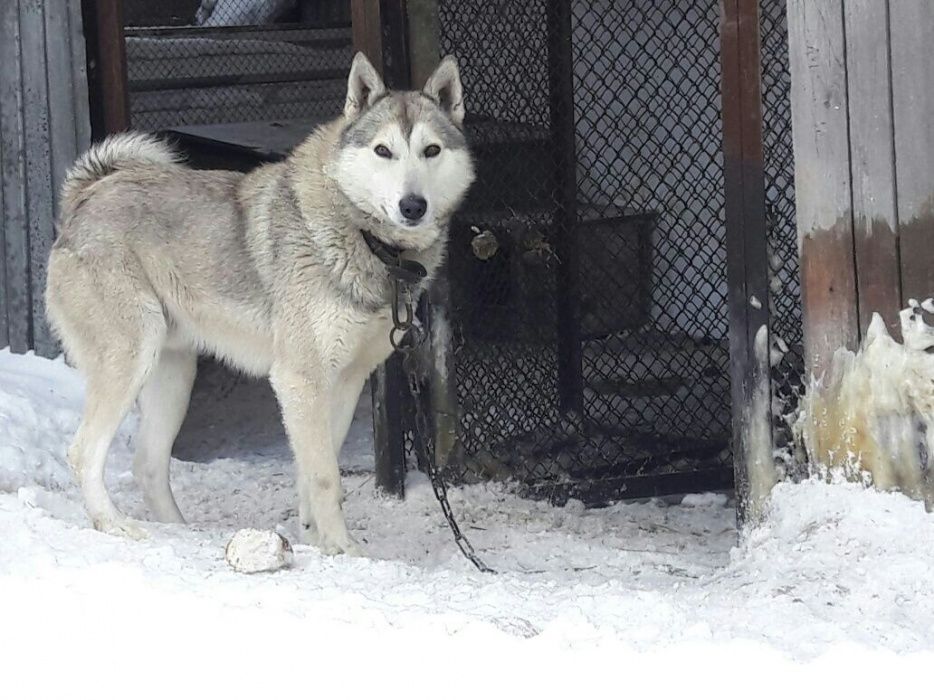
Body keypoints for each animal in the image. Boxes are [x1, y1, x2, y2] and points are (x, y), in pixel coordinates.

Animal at [45, 53, 476, 556]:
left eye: (431, 150)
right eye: (383, 151)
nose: (413, 206)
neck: (369, 242)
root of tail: (85, 198)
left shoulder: (345, 383)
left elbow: (314, 477)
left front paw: (316, 542)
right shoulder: (299, 380)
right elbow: (325, 478)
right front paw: (344, 550)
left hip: (174, 373)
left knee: (147, 465)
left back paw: (183, 533)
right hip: (131, 359)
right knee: (83, 453)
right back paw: (114, 525)